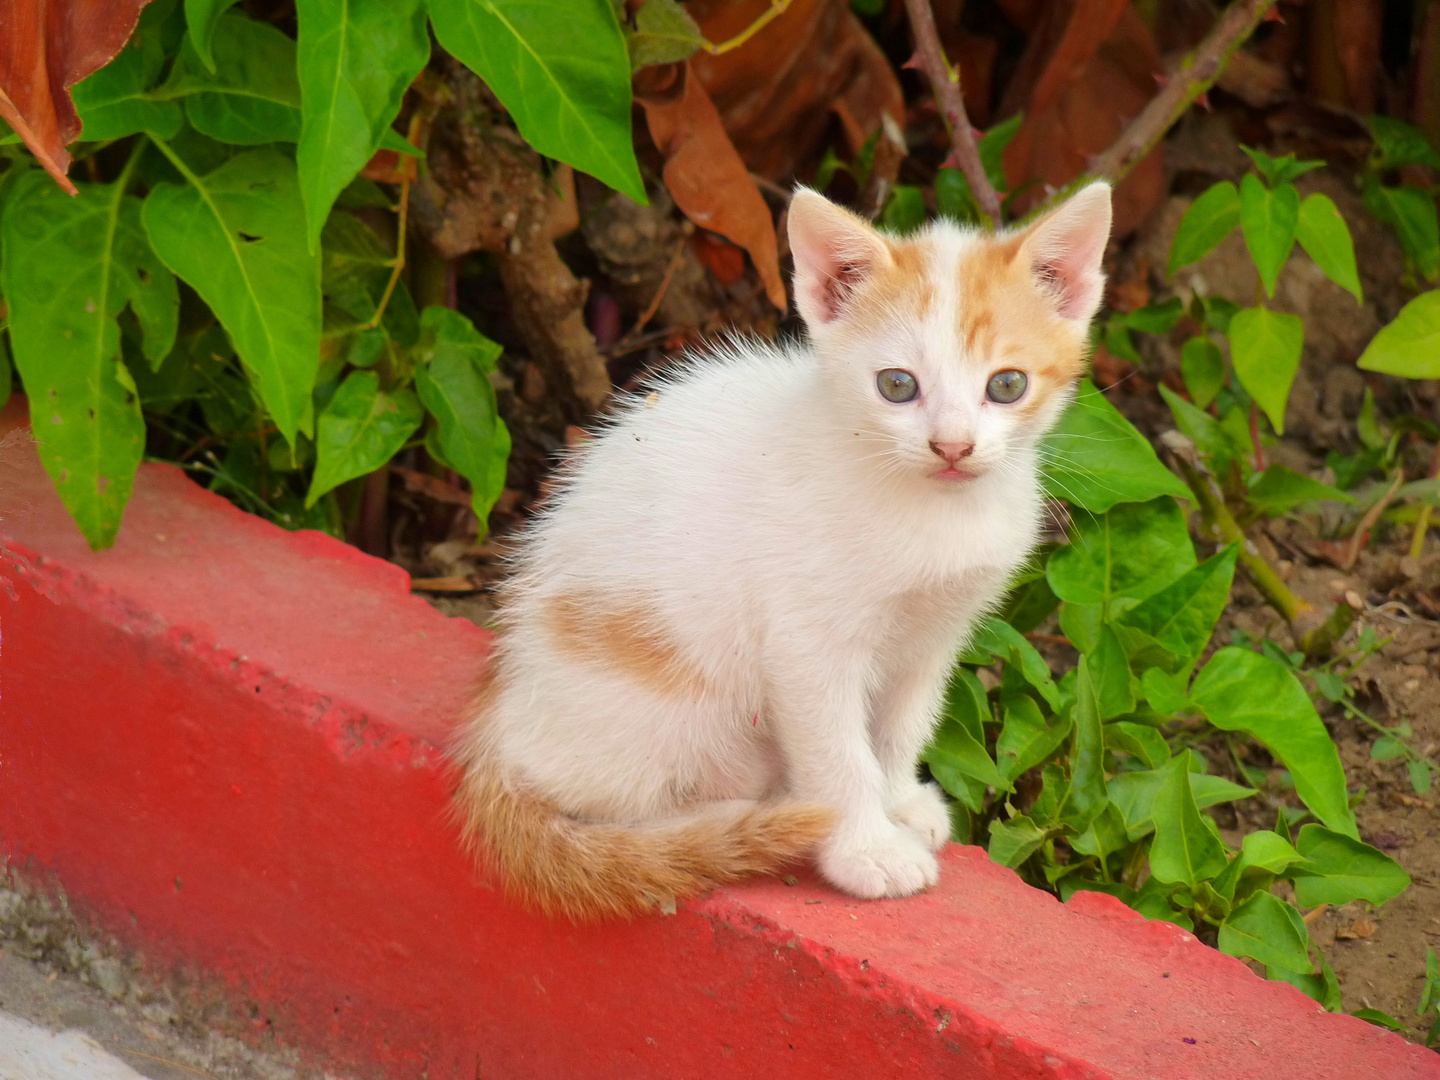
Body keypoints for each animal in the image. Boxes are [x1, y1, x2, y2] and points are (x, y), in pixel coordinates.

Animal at [452, 180, 1111, 921]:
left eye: (1007, 385)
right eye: (897, 385)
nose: (952, 446)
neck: (931, 511)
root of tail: (500, 720)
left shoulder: (935, 633)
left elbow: (903, 724)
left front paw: (899, 800)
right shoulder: (806, 644)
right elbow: (837, 752)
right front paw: (866, 848)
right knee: (599, 809)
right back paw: (733, 824)